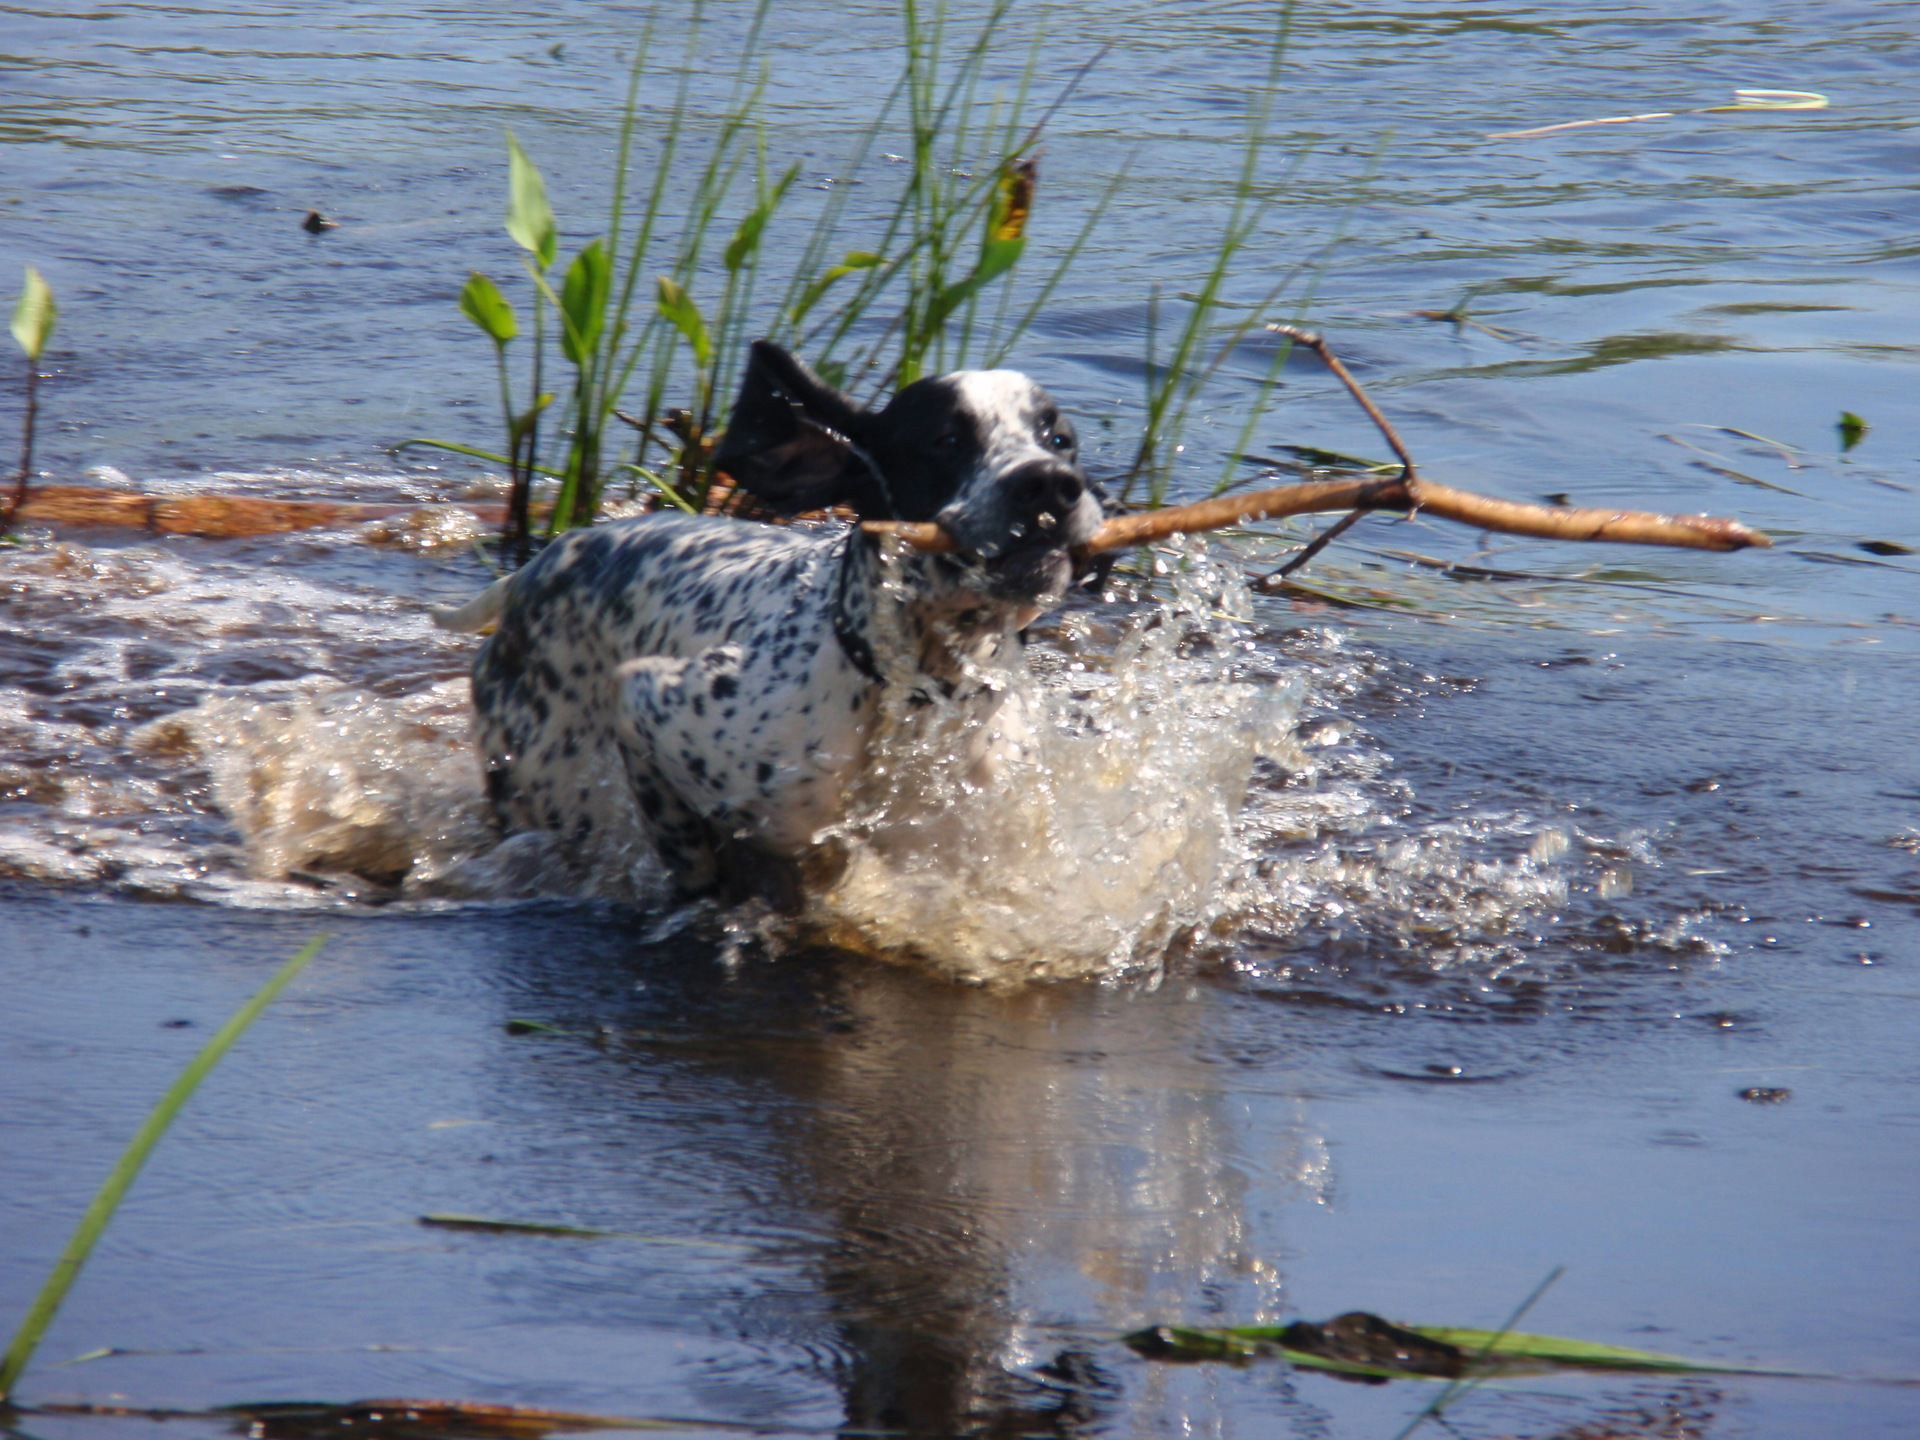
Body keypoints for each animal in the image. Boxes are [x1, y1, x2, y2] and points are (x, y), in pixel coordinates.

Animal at [430, 341, 1105, 902]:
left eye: (1059, 439)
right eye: (945, 440)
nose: (1050, 484)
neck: (917, 697)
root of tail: (539, 565)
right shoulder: (649, 702)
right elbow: (691, 853)